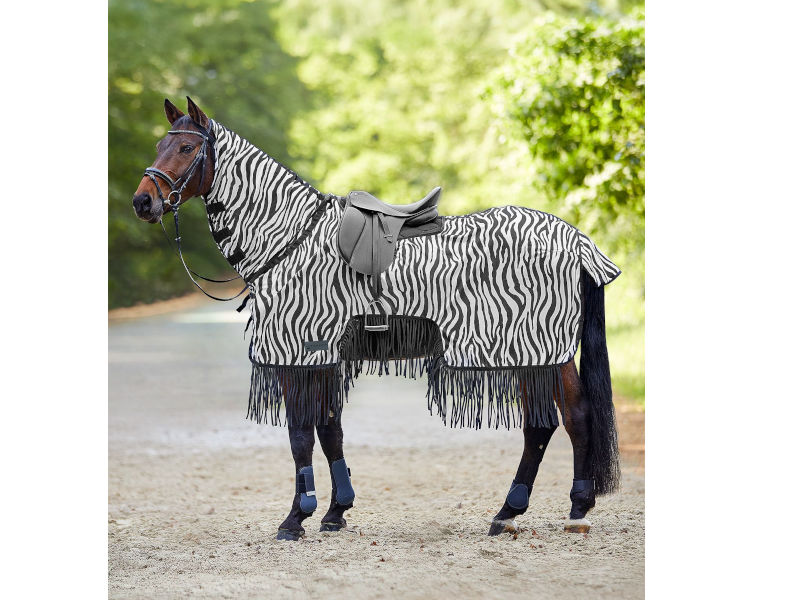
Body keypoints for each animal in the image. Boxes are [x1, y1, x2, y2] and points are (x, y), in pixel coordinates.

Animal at [132, 97, 621, 540]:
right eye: (158, 144)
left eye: (185, 148)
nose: (142, 201)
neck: (290, 238)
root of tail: (576, 240)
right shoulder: (323, 354)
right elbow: (330, 429)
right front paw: (335, 512)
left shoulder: (300, 352)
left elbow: (300, 434)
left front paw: (296, 518)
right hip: (531, 353)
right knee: (552, 422)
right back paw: (522, 511)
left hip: (540, 349)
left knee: (569, 418)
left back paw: (561, 509)